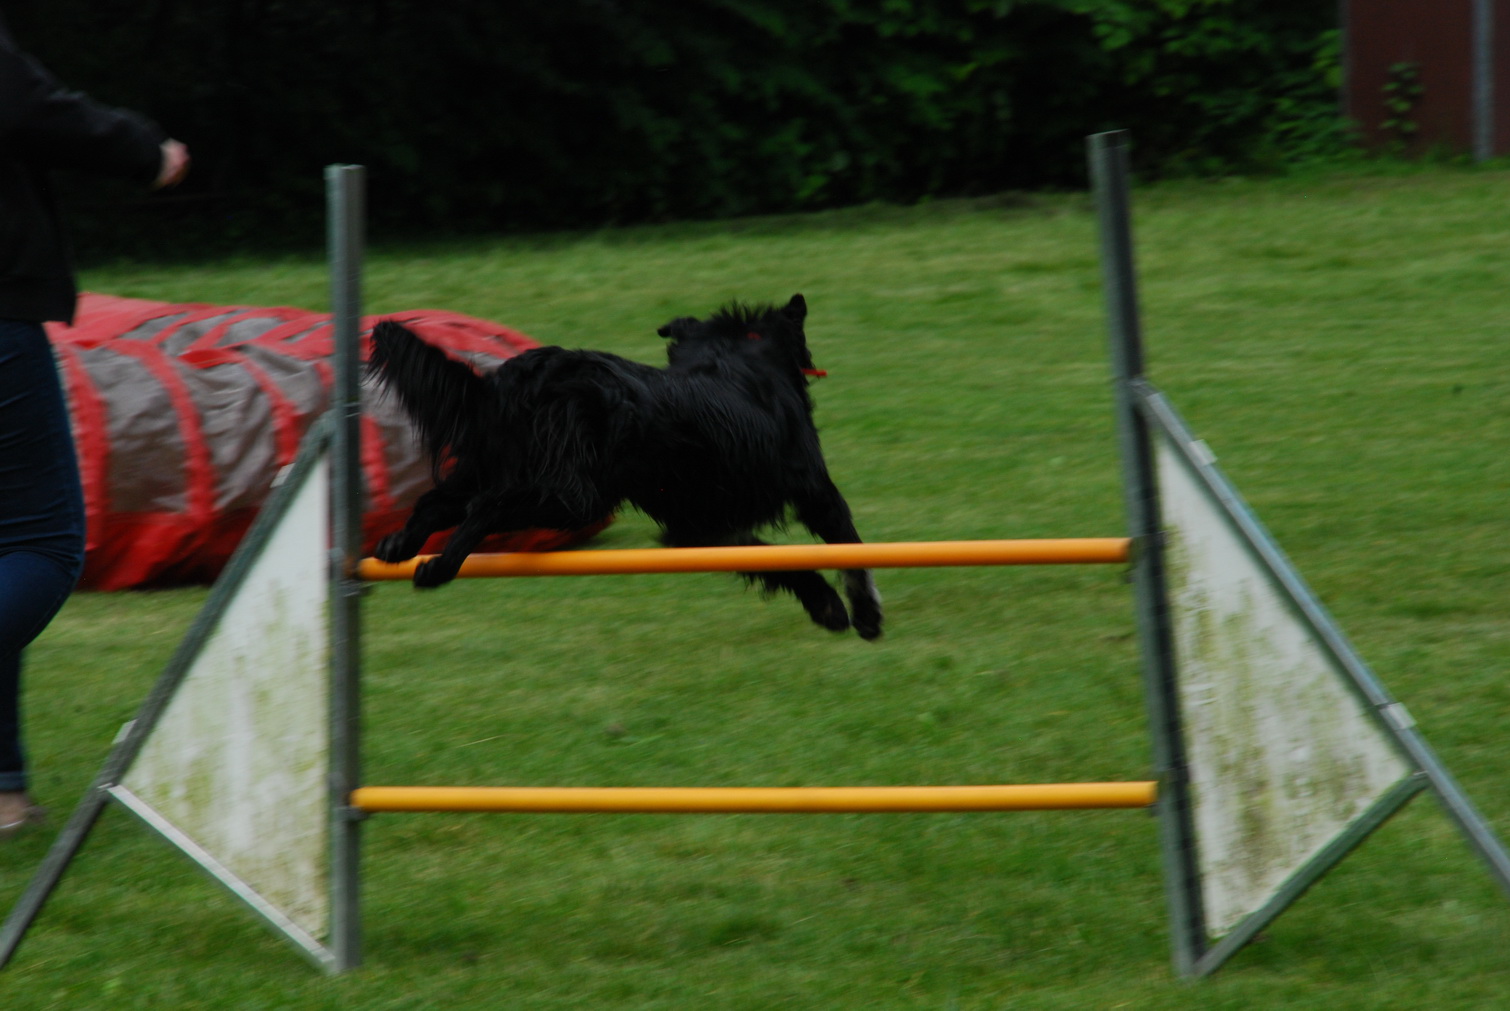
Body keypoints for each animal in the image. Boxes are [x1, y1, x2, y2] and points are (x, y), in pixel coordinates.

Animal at [366, 294, 882, 639]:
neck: (738, 359)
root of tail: (517, 379)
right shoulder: (814, 490)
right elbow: (849, 551)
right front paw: (863, 615)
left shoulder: (701, 526)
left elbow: (776, 563)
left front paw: (825, 606)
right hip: (574, 494)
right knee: (485, 508)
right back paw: (440, 566)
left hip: (496, 466)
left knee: (437, 503)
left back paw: (397, 546)